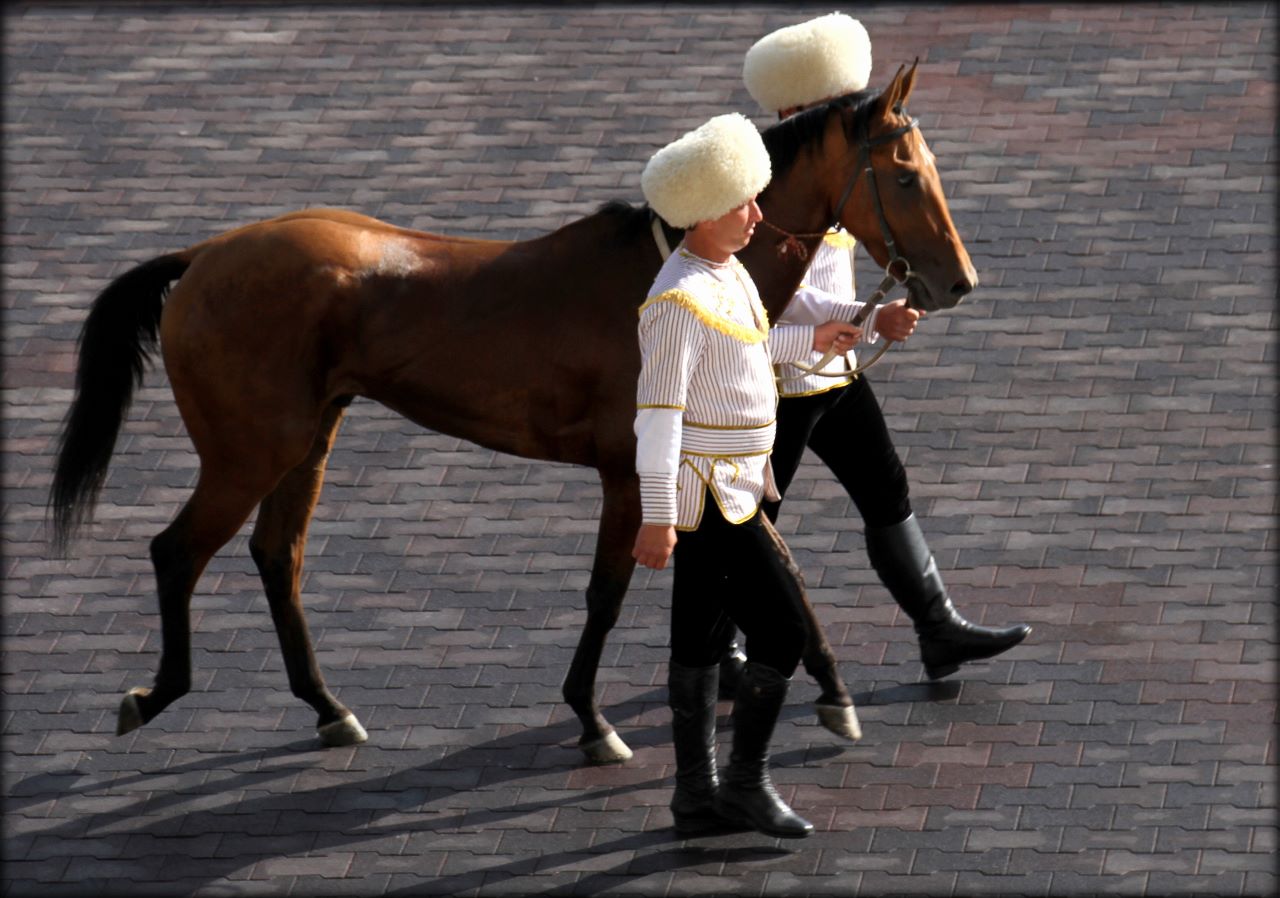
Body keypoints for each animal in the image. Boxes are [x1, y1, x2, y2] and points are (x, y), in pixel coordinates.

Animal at [47, 65, 967, 757]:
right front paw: (592, 721)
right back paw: (155, 695)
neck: (677, 276)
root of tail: (203, 255)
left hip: (309, 439)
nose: (956, 282)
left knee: (279, 557)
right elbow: (608, 591)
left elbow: (778, 562)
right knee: (177, 552)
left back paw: (328, 708)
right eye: (906, 175)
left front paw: (837, 692)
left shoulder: (706, 470)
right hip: (249, 452)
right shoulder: (635, 473)